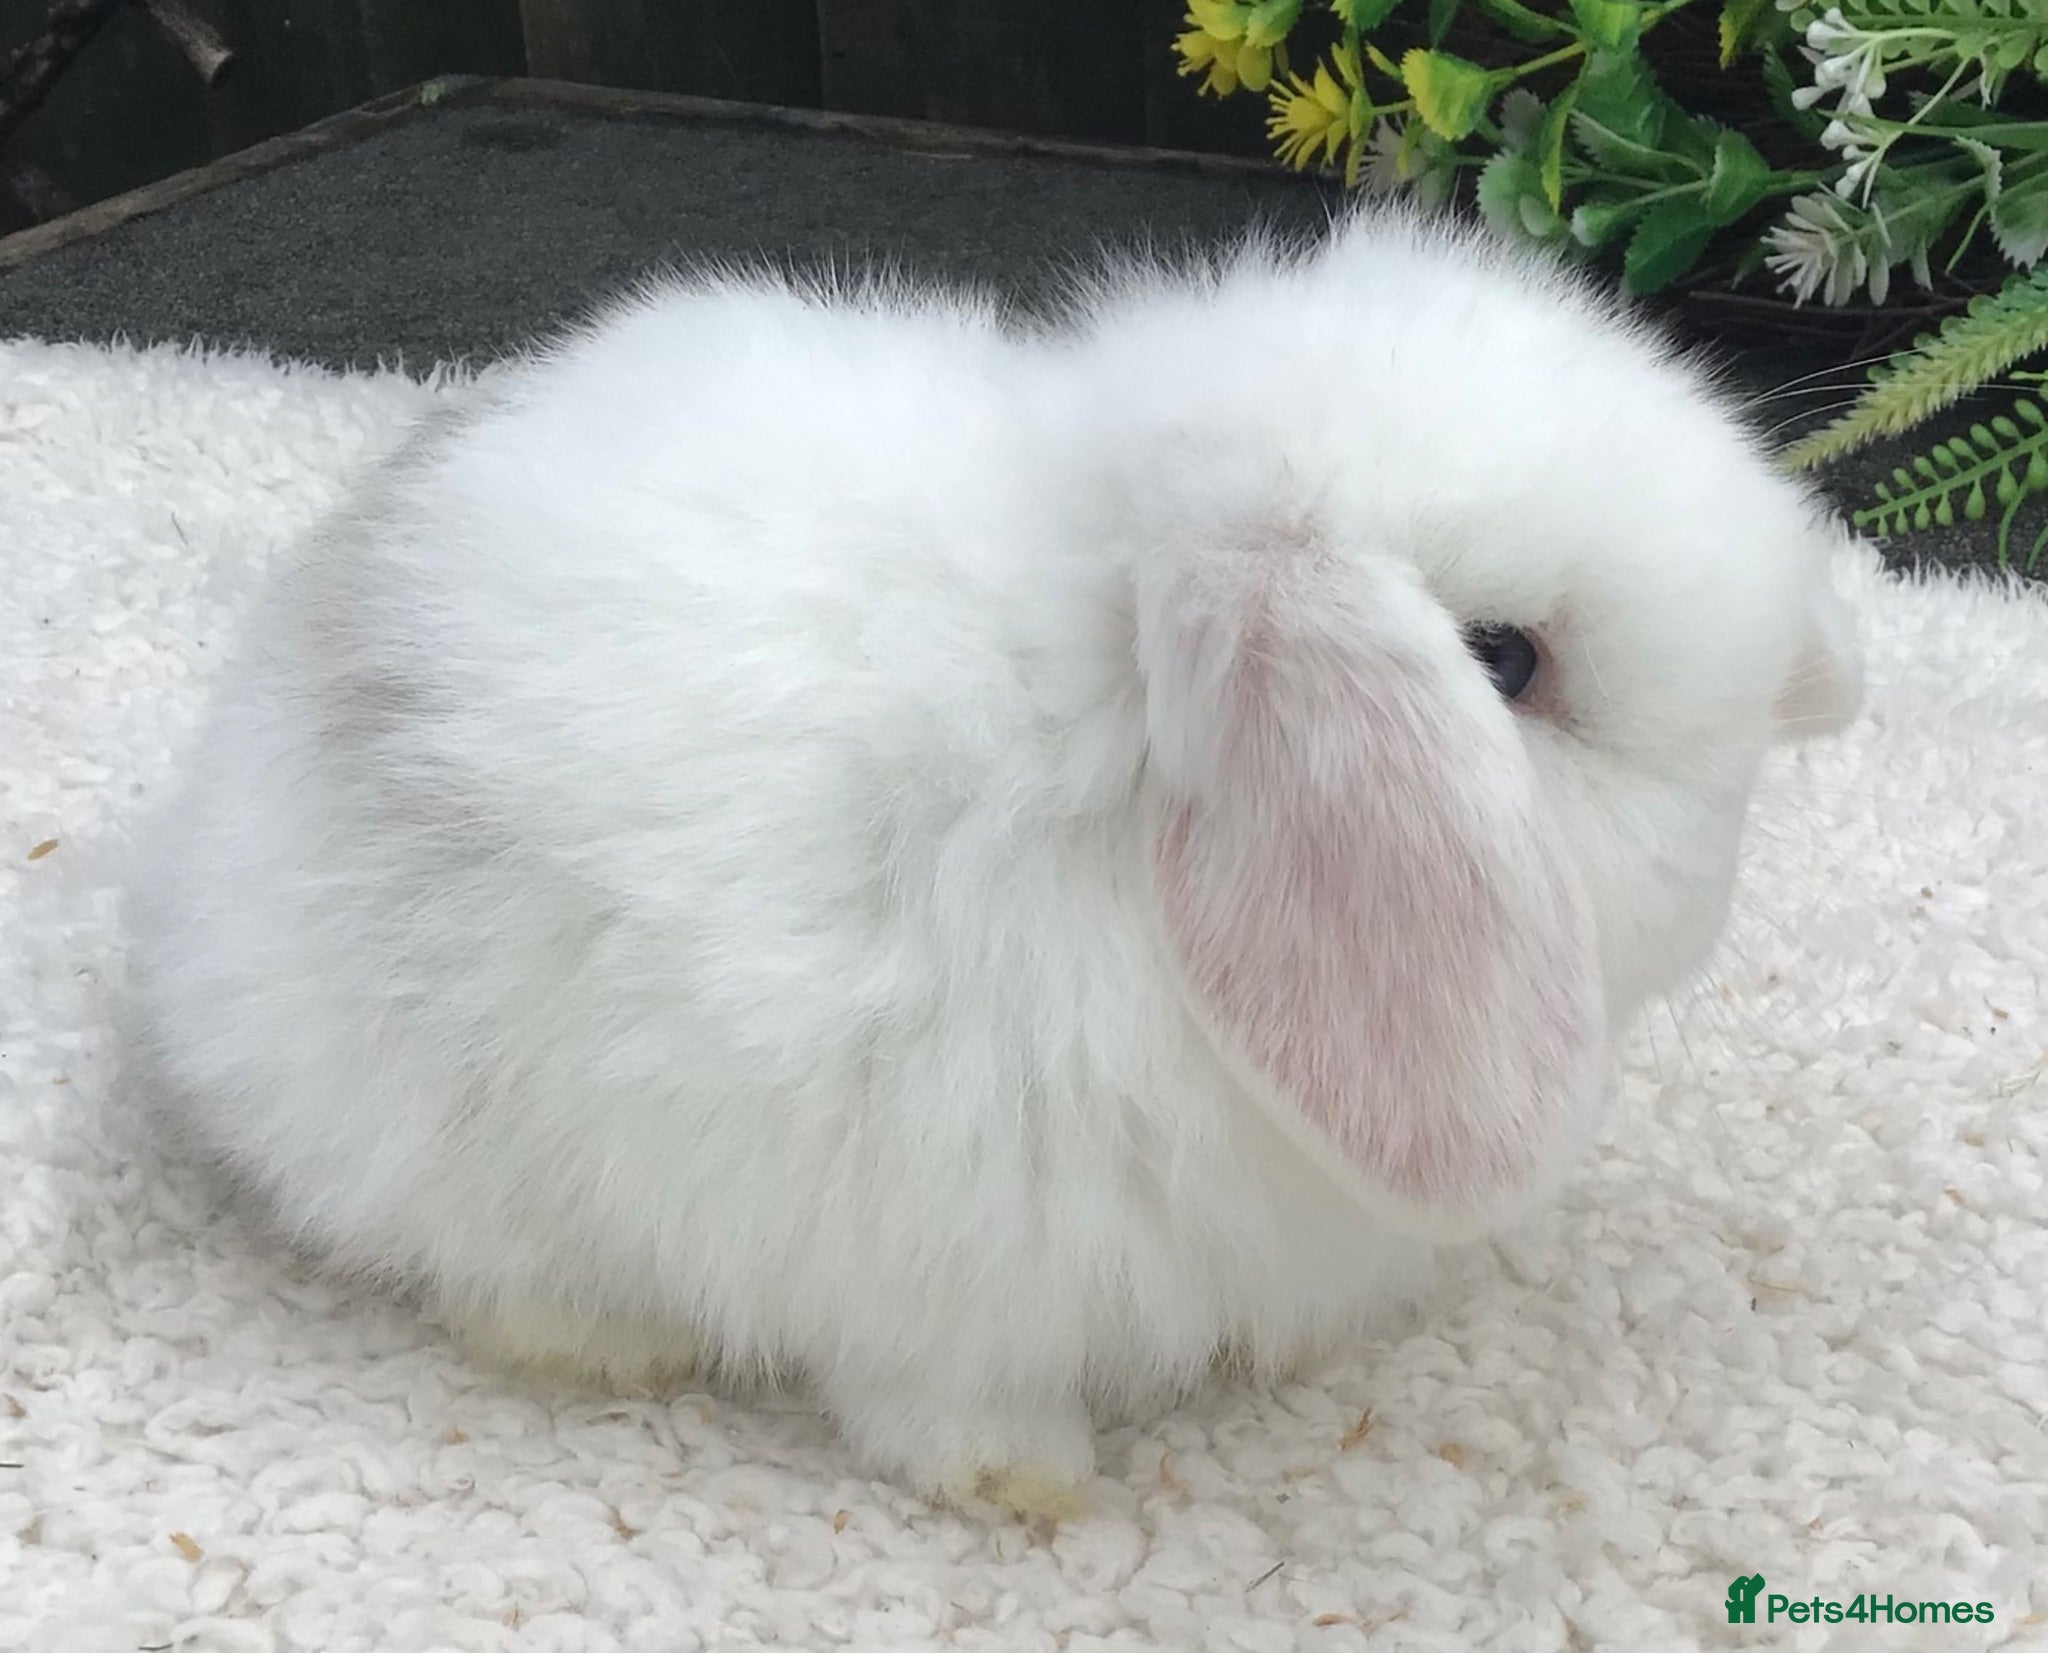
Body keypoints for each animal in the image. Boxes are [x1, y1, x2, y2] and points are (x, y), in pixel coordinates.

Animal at [122, 207, 1863, 1519]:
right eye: (1503, 661)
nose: (1799, 703)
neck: (1105, 744)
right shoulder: (930, 1242)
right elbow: (937, 1392)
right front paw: (1026, 1484)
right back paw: (603, 1346)